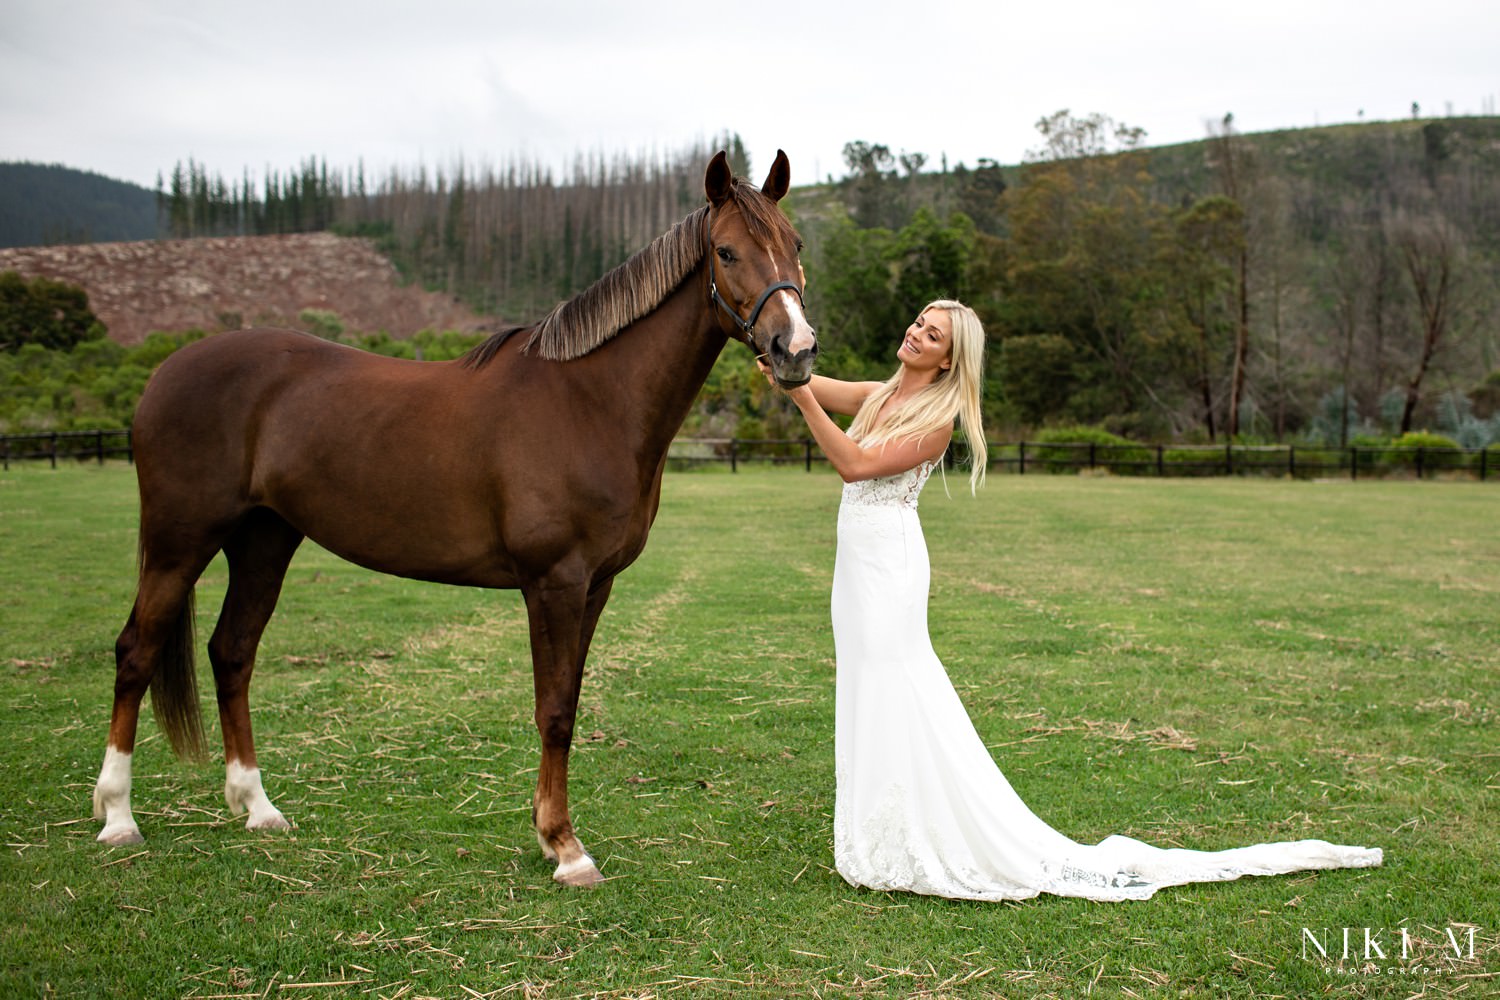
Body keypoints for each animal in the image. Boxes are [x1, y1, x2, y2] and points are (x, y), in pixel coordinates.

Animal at [90, 146, 822, 881]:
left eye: (795, 244)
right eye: (726, 251)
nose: (795, 350)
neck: (590, 401)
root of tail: (165, 373)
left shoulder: (595, 586)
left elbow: (569, 698)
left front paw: (548, 833)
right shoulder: (553, 583)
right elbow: (554, 710)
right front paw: (565, 848)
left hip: (264, 540)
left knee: (232, 652)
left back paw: (257, 808)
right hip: (180, 541)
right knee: (136, 652)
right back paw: (119, 818)